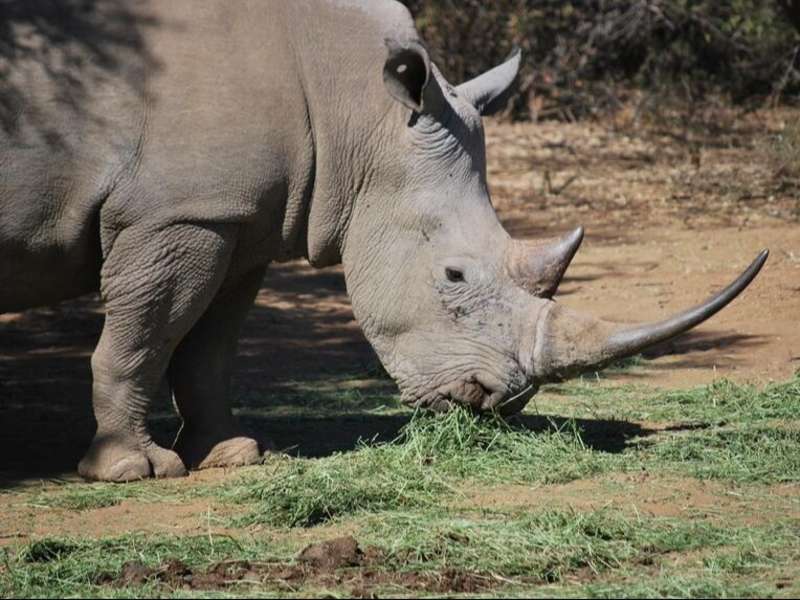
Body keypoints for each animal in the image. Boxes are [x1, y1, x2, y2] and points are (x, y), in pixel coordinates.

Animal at [1, 0, 766, 482]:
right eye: (454, 277)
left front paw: (235, 455)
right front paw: (132, 470)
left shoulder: (236, 219)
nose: (495, 403)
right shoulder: (176, 213)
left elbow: (209, 345)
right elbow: (143, 336)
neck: (358, 114)